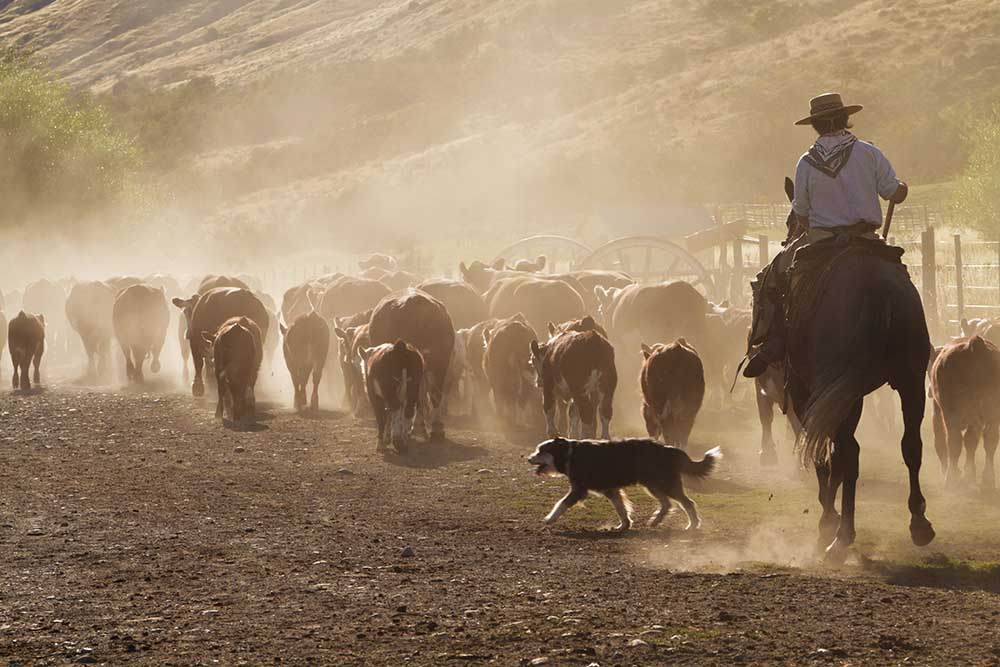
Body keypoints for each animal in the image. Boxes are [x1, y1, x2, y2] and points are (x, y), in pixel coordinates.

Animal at [528, 438, 724, 532]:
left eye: (541, 451)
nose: (529, 458)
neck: (569, 454)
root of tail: (671, 449)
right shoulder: (611, 490)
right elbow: (621, 508)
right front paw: (624, 525)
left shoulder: (579, 490)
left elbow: (561, 504)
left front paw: (550, 518)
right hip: (653, 485)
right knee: (667, 504)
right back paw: (656, 521)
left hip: (665, 484)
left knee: (687, 503)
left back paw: (692, 525)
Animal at [780, 179, 936, 564]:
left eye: (791, 220)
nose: (787, 241)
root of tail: (876, 288)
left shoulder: (807, 392)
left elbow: (821, 449)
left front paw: (827, 520)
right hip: (909, 380)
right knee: (911, 445)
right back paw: (919, 523)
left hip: (840, 389)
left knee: (848, 453)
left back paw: (841, 536)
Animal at [928, 336, 1000, 488]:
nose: (930, 391)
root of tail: (974, 344)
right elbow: (972, 442)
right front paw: (969, 473)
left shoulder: (937, 412)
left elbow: (940, 441)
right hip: (993, 412)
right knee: (990, 440)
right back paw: (988, 478)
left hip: (951, 413)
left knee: (954, 441)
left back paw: (951, 477)